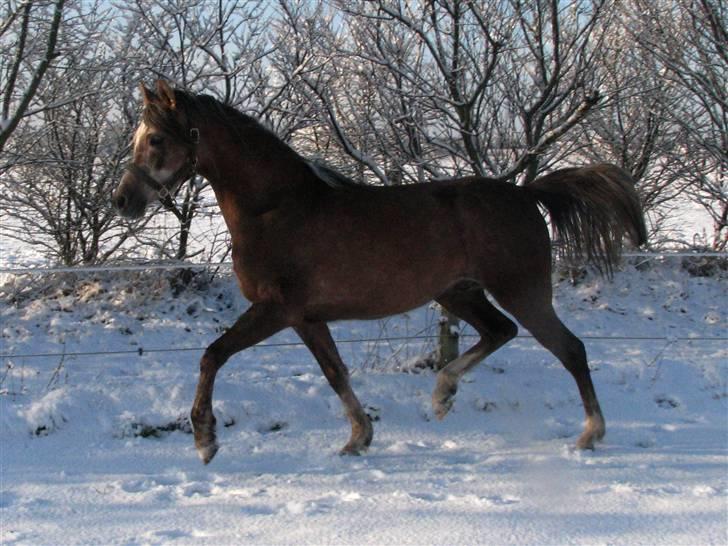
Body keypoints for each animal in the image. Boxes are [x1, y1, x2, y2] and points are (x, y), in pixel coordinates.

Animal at [114, 81, 648, 464]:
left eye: (156, 138)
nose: (123, 201)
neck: (277, 209)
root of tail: (523, 193)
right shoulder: (306, 318)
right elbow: (335, 373)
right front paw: (359, 438)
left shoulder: (275, 310)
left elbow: (212, 355)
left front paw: (205, 440)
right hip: (459, 293)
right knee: (500, 331)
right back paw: (442, 395)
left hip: (522, 290)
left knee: (570, 349)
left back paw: (590, 435)